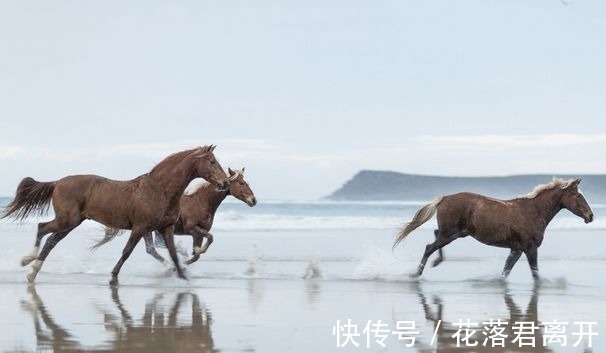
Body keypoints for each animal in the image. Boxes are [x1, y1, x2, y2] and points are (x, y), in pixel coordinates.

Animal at [0, 144, 230, 284]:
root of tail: (58, 182)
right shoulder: (140, 227)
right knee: (42, 228)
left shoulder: (165, 228)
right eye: (212, 162)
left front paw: (183, 276)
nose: (225, 182)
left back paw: (32, 271)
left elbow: (173, 254)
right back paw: (28, 261)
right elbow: (127, 252)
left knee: (51, 240)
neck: (160, 189)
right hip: (67, 219)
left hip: (71, 223)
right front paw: (113, 277)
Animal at [92, 167, 256, 264]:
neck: (201, 201)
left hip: (146, 230)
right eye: (241, 183)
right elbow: (209, 240)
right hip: (145, 229)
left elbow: (198, 253)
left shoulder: (197, 233)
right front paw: (186, 258)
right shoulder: (192, 229)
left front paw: (187, 258)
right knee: (152, 249)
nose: (253, 200)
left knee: (152, 249)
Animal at [392, 177, 596, 280]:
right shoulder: (530, 248)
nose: (591, 216)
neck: (533, 211)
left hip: (455, 233)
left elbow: (506, 271)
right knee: (429, 247)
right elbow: (535, 273)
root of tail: (445, 198)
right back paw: (416, 273)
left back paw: (435, 262)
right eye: (578, 195)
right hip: (451, 234)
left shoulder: (516, 249)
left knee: (434, 237)